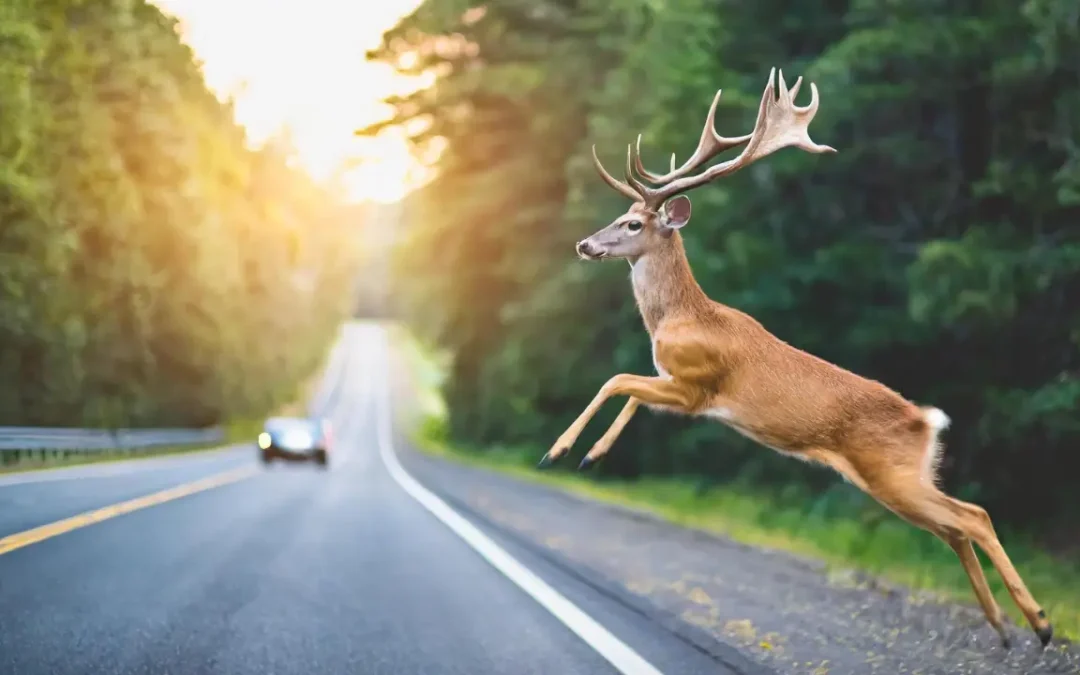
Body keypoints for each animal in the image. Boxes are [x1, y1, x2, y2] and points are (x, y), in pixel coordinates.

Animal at [540, 67, 1054, 648]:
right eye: (621, 215)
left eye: (633, 225)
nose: (585, 245)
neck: (678, 317)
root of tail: (927, 420)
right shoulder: (680, 388)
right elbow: (631, 391)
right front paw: (593, 454)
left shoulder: (697, 386)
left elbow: (617, 379)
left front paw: (560, 450)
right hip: (906, 478)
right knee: (954, 528)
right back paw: (1003, 628)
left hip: (892, 473)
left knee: (974, 517)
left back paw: (1039, 623)